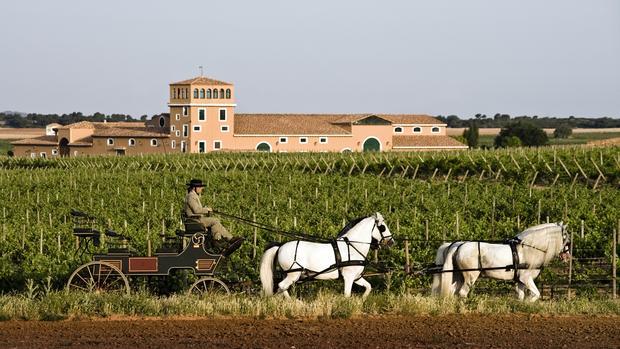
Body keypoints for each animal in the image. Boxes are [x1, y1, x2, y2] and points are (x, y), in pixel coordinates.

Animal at [260, 212, 394, 296]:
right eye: (382, 227)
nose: (392, 241)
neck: (352, 247)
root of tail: (281, 246)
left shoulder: (356, 277)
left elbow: (368, 287)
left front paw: (361, 301)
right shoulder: (349, 277)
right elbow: (347, 295)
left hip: (290, 275)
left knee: (282, 287)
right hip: (293, 274)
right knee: (282, 286)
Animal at [434, 223, 568, 302]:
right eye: (566, 236)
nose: (567, 255)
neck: (529, 249)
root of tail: (459, 245)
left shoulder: (520, 281)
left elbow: (521, 296)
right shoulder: (526, 278)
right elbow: (536, 294)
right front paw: (529, 303)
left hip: (459, 276)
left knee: (452, 291)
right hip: (470, 276)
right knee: (462, 293)